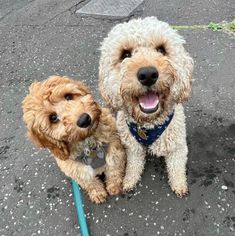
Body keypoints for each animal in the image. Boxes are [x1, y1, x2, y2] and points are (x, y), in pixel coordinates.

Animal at [22, 75, 126, 203]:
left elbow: (113, 169)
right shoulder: (75, 168)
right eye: (53, 118)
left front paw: (114, 186)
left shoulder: (114, 148)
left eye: (68, 96)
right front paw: (98, 193)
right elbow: (89, 182)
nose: (84, 120)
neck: (88, 143)